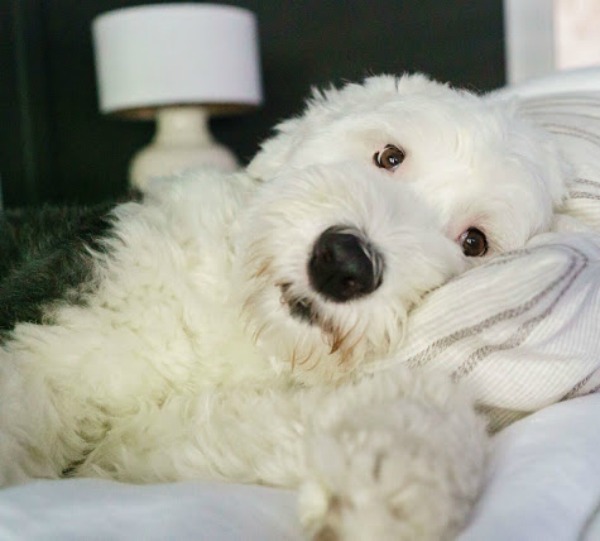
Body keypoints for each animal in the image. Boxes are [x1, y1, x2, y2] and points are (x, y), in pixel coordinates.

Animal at [0, 74, 568, 536]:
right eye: (389, 156)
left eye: (474, 242)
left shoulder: (135, 445)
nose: (345, 263)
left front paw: (388, 484)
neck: (243, 323)